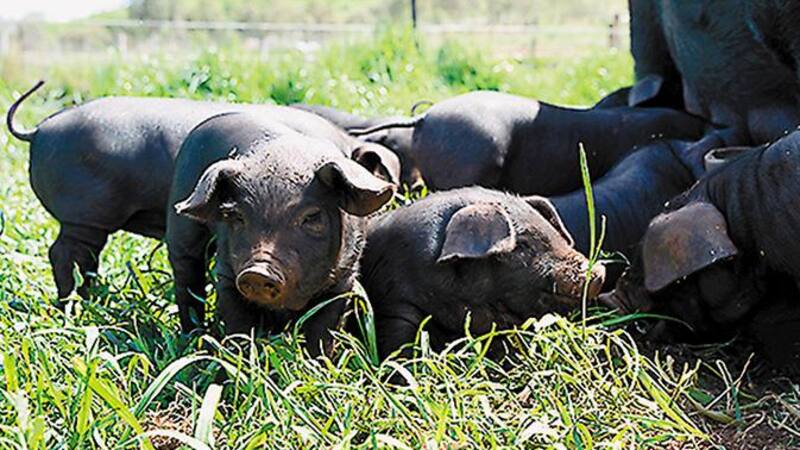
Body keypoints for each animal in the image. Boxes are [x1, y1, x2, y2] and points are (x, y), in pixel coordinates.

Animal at [166, 111, 395, 353]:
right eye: (237, 216)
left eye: (311, 217)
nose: (257, 272)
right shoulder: (227, 273)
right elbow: (238, 328)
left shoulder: (344, 278)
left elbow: (322, 334)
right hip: (181, 222)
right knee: (187, 280)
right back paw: (189, 340)